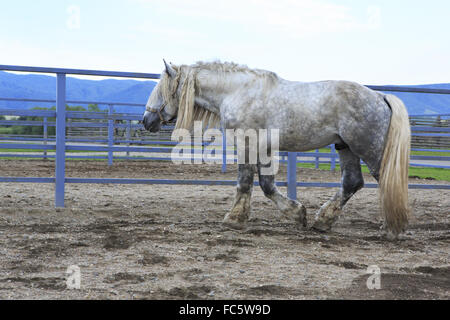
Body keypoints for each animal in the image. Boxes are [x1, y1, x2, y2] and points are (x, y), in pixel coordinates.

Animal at [142, 61, 410, 239]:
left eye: (161, 89)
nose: (146, 120)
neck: (237, 92)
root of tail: (380, 97)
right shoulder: (265, 149)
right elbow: (267, 185)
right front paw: (298, 213)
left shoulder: (247, 144)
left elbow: (245, 181)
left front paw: (234, 219)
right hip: (345, 147)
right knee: (352, 182)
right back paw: (323, 221)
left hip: (368, 148)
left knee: (384, 180)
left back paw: (392, 229)